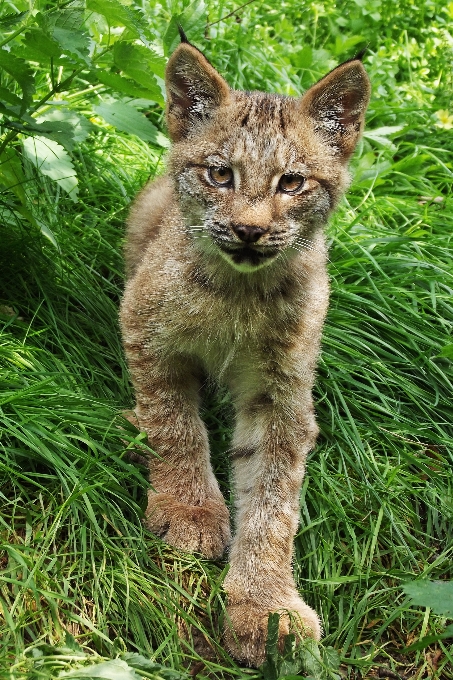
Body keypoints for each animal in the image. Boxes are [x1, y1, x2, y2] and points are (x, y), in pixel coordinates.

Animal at [120, 29, 370, 668]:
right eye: (219, 175)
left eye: (292, 183)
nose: (250, 231)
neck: (239, 289)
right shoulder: (145, 330)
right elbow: (176, 425)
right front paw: (189, 510)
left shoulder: (280, 392)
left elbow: (274, 503)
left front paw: (266, 605)